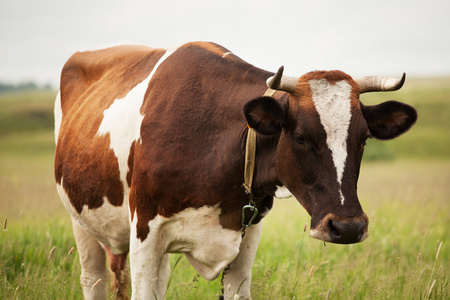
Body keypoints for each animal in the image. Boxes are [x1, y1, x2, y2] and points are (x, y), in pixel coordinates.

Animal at [55, 41, 418, 298]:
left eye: (364, 138)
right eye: (300, 137)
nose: (348, 227)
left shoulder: (246, 233)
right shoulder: (145, 230)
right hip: (80, 221)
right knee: (93, 279)